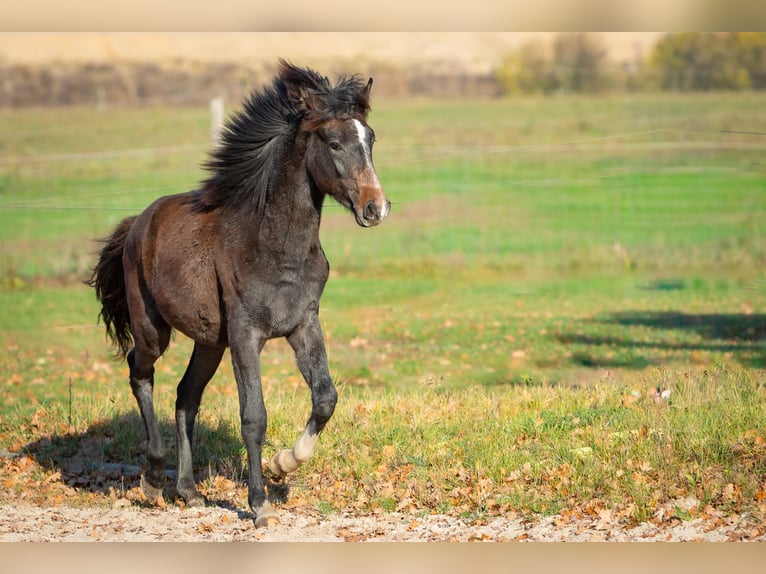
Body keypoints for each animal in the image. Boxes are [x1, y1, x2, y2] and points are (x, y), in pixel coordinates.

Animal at [87, 60, 390, 528]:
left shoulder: (304, 323)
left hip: (210, 342)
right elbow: (253, 417)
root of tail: (138, 222)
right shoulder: (247, 335)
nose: (376, 207)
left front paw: (285, 463)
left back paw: (189, 491)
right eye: (335, 143)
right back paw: (153, 479)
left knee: (186, 396)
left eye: (370, 138)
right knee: (140, 370)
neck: (275, 246)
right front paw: (260, 504)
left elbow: (325, 398)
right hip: (153, 328)